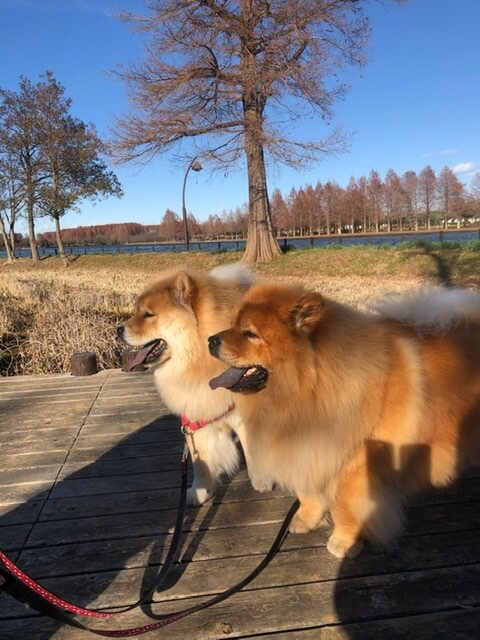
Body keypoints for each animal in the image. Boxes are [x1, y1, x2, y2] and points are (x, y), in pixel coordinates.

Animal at [209, 282, 480, 556]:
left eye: (250, 334)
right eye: (232, 325)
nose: (211, 340)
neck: (304, 393)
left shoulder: (353, 471)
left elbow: (344, 511)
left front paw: (343, 544)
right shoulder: (308, 455)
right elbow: (308, 495)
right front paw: (304, 521)